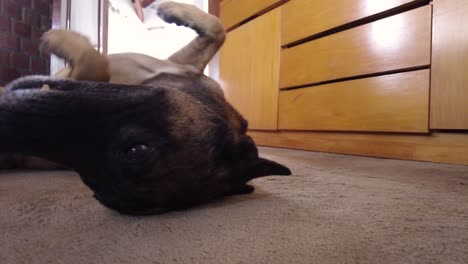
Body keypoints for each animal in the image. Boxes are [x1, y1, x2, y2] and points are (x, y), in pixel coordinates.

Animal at [0, 1, 290, 214]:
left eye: (136, 149)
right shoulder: (179, 62)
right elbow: (218, 29)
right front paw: (172, 10)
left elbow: (96, 60)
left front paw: (60, 39)